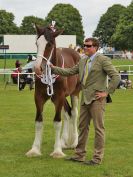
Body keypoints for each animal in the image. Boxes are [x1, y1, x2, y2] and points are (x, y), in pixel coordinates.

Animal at [25, 24, 80, 158]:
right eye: (36, 43)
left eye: (49, 44)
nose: (37, 68)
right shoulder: (39, 97)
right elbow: (39, 121)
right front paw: (35, 149)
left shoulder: (59, 97)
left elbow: (57, 122)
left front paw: (57, 151)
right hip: (64, 97)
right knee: (67, 113)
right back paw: (64, 141)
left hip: (75, 93)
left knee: (74, 113)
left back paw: (75, 142)